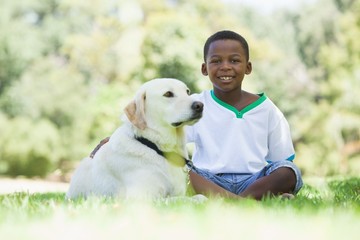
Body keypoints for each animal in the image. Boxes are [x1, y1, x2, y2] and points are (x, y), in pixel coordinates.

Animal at [66, 79, 204, 201]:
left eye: (187, 92)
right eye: (168, 94)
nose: (200, 105)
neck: (153, 146)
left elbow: (197, 197)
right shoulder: (142, 197)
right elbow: (183, 200)